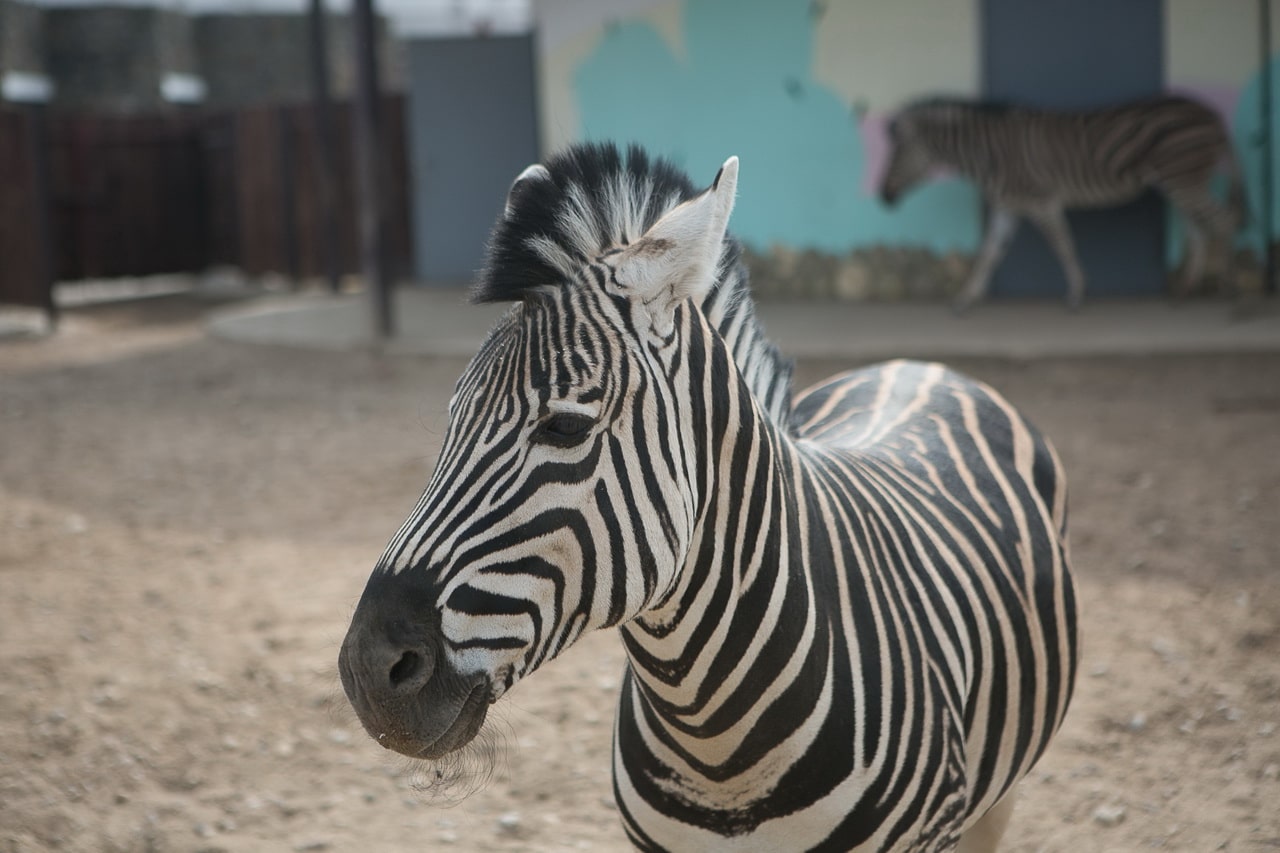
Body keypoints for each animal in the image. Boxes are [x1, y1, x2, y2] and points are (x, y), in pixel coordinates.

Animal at [340, 142, 1080, 845]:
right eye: (450, 421)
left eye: (565, 426)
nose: (368, 671)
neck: (714, 740)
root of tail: (913, 364)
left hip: (999, 790)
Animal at [880, 94, 1249, 311]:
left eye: (897, 154)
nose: (884, 197)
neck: (988, 154)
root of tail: (1213, 116)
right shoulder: (1008, 207)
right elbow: (989, 252)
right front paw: (965, 298)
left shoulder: (1040, 201)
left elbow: (1063, 246)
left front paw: (1076, 295)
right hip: (1179, 182)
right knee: (1199, 230)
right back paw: (1186, 290)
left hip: (1184, 178)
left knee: (1224, 220)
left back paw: (1233, 293)